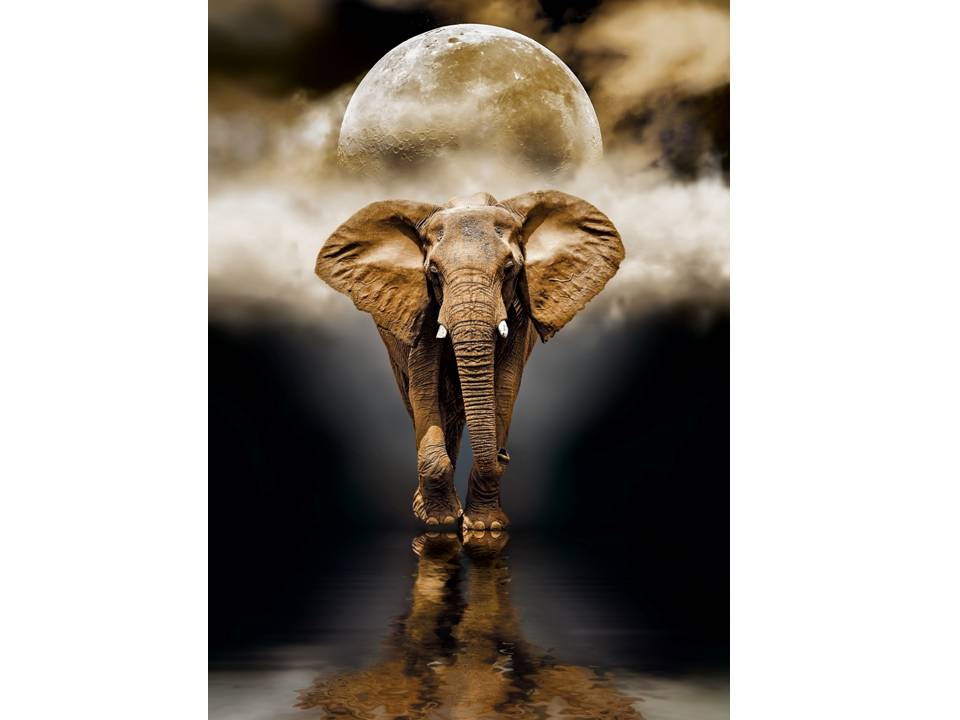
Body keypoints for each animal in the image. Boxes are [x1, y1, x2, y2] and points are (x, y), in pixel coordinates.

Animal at [316, 190, 623, 529]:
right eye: (433, 273)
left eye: (509, 269)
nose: (504, 454)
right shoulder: (424, 307)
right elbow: (424, 384)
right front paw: (439, 522)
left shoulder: (517, 312)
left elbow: (504, 386)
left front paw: (484, 527)